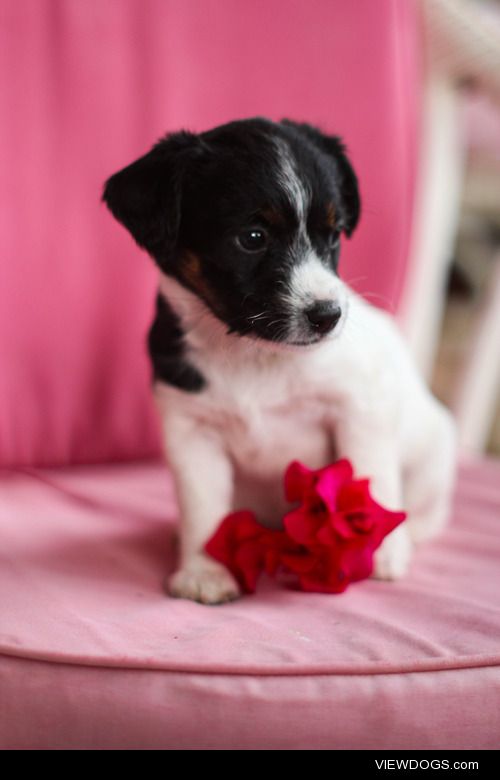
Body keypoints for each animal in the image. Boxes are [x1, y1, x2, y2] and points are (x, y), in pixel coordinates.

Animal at [103, 117, 456, 604]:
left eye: (333, 235)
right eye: (252, 238)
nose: (328, 315)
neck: (254, 354)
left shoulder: (359, 408)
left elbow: (370, 474)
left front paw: (381, 551)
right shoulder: (191, 432)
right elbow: (203, 508)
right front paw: (204, 569)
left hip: (433, 457)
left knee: (427, 510)